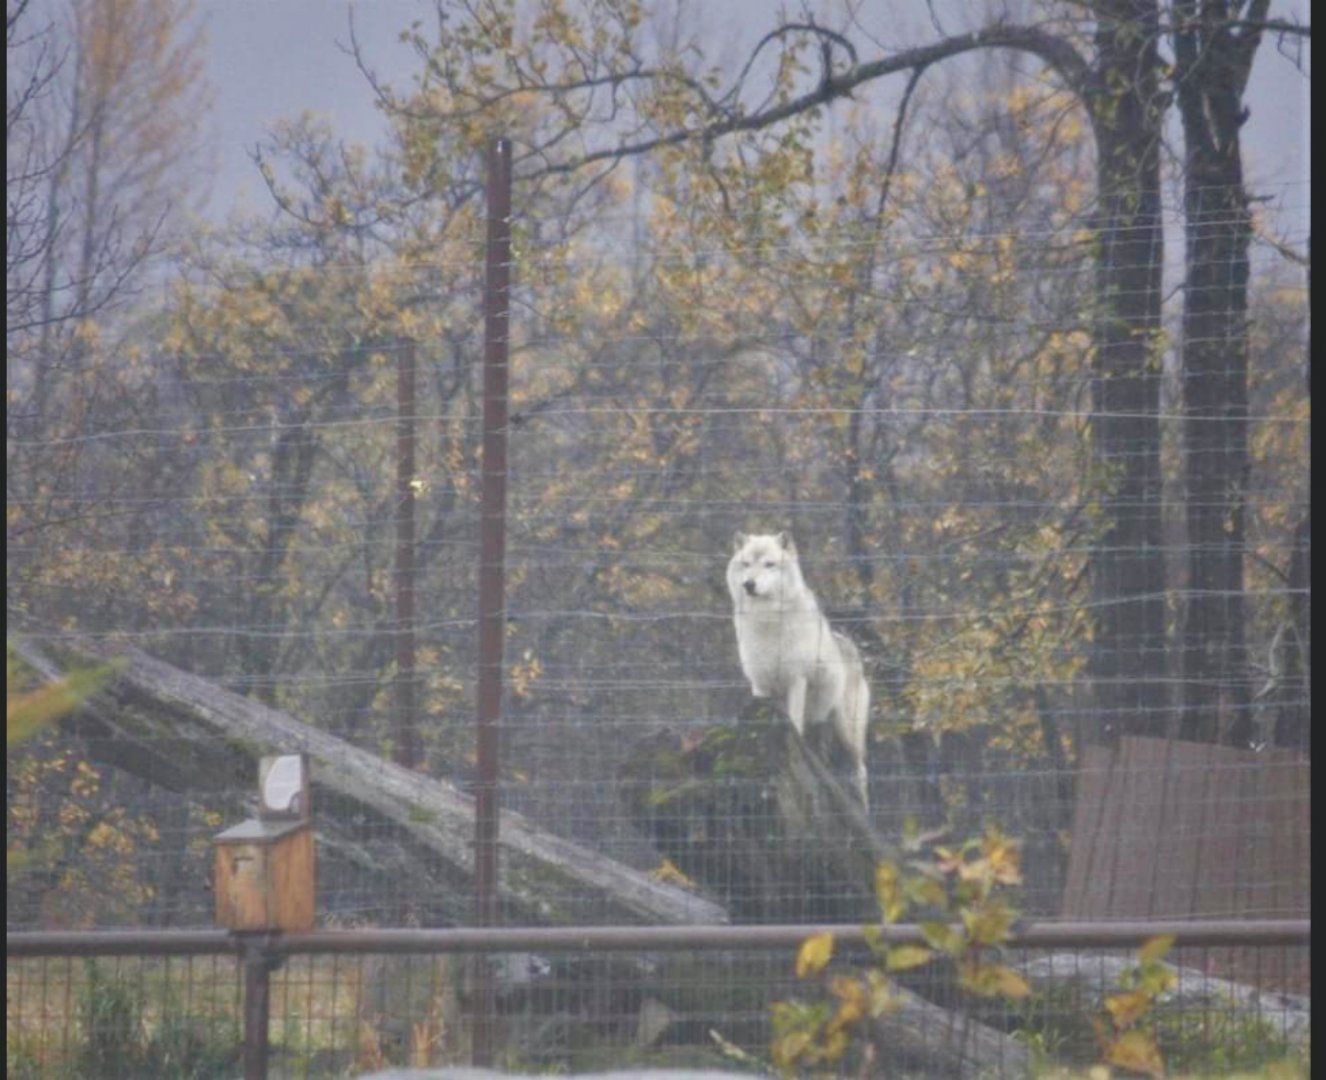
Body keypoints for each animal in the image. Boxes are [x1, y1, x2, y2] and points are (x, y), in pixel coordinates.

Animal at [727, 531, 870, 808]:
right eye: (747, 564)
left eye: (769, 564)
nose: (749, 584)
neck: (768, 620)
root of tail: (850, 646)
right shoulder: (759, 685)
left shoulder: (796, 680)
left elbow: (793, 721)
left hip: (847, 731)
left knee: (860, 771)